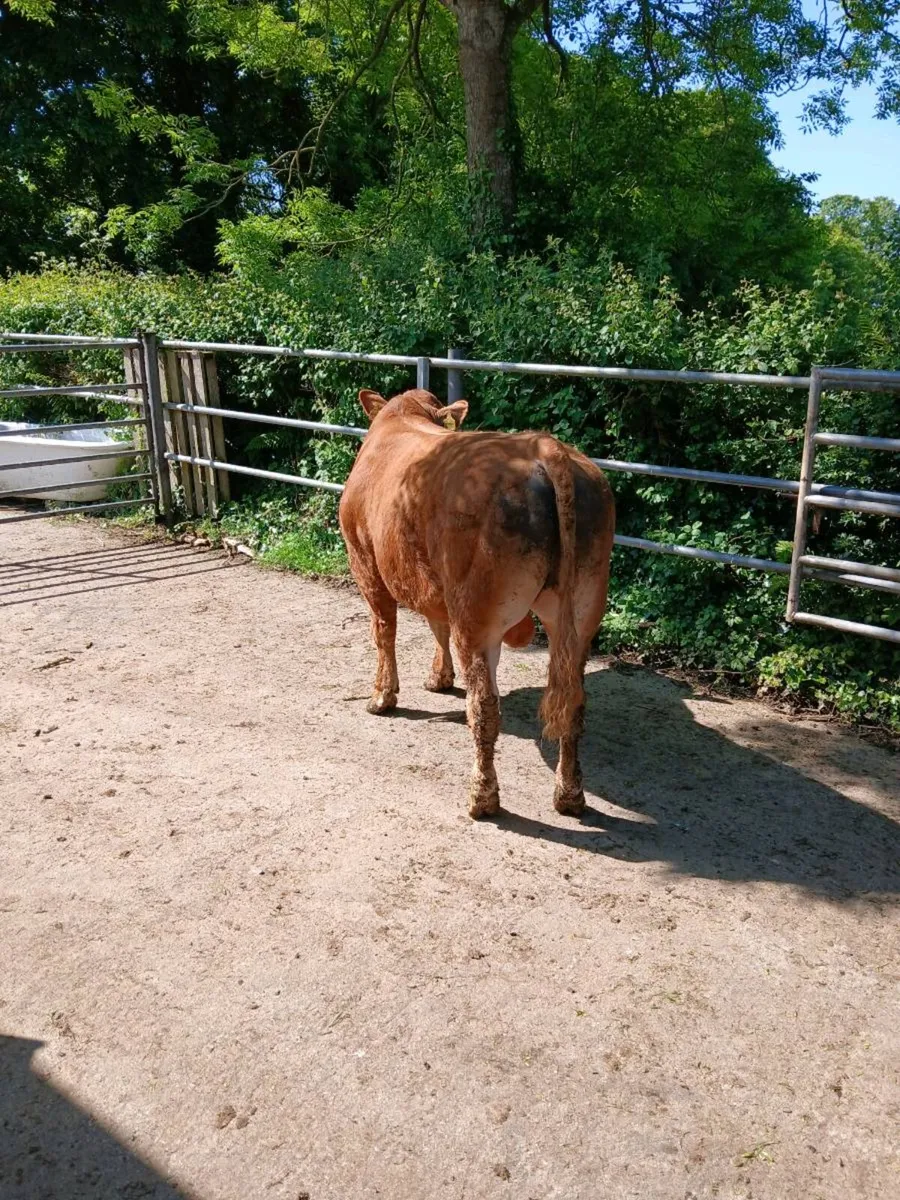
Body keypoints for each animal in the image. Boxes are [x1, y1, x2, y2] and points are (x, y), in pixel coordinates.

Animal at [339, 387, 615, 819]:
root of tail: (545, 447)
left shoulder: (364, 561)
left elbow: (384, 632)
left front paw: (382, 696)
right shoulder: (433, 583)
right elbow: (437, 625)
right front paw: (439, 678)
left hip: (478, 611)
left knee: (484, 706)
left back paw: (482, 798)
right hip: (583, 607)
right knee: (573, 703)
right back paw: (569, 796)